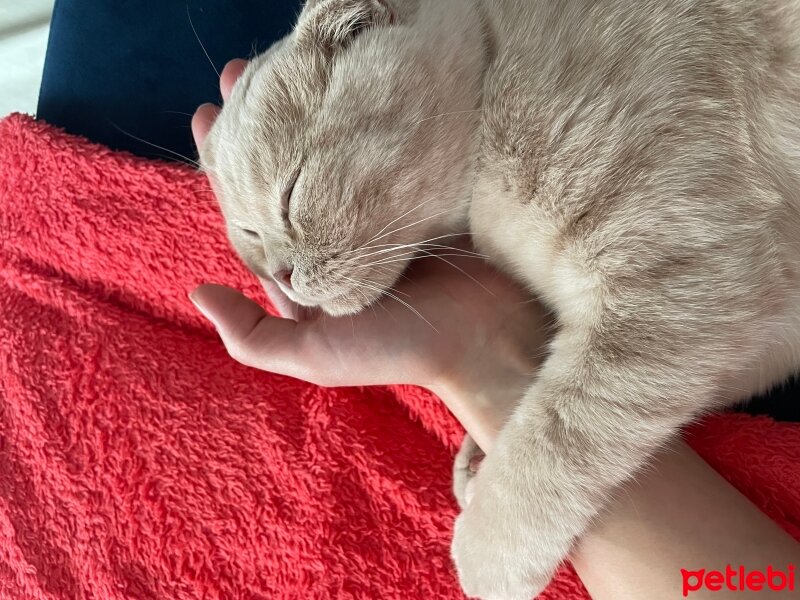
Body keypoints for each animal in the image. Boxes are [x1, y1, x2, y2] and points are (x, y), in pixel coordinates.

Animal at [198, 2, 800, 596]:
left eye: (290, 193)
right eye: (249, 234)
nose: (280, 274)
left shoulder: (685, 273)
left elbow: (560, 430)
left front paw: (486, 553)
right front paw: (477, 453)